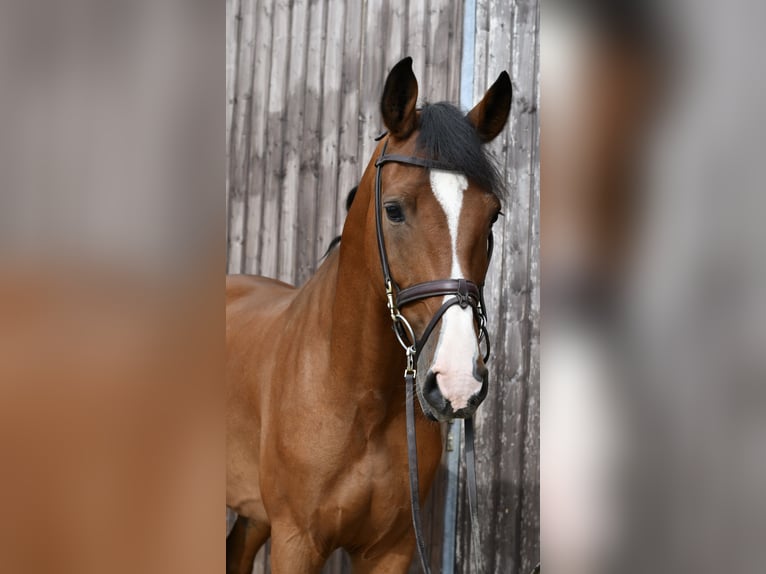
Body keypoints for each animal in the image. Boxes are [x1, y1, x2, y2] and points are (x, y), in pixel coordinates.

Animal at [226, 57, 512, 573]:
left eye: (492, 216)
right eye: (393, 210)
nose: (458, 382)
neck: (358, 398)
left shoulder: (391, 549)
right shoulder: (296, 541)